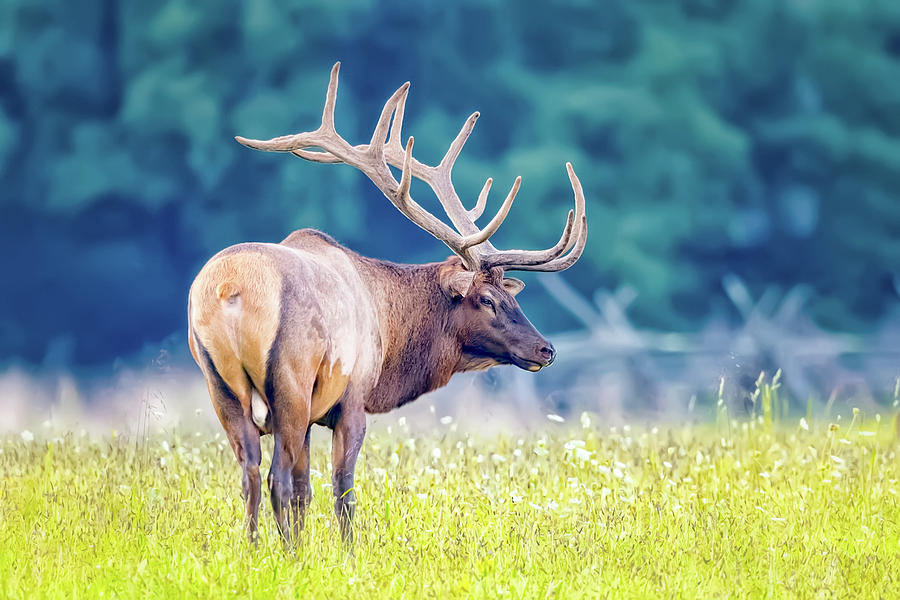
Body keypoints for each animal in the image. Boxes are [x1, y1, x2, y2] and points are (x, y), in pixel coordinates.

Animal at [186, 62, 588, 544]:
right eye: (488, 299)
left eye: (509, 294)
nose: (546, 349)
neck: (391, 333)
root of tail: (231, 289)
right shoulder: (353, 399)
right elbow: (341, 489)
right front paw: (346, 552)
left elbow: (306, 490)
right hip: (290, 380)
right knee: (275, 479)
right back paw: (284, 553)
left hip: (221, 385)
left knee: (249, 473)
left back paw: (254, 549)